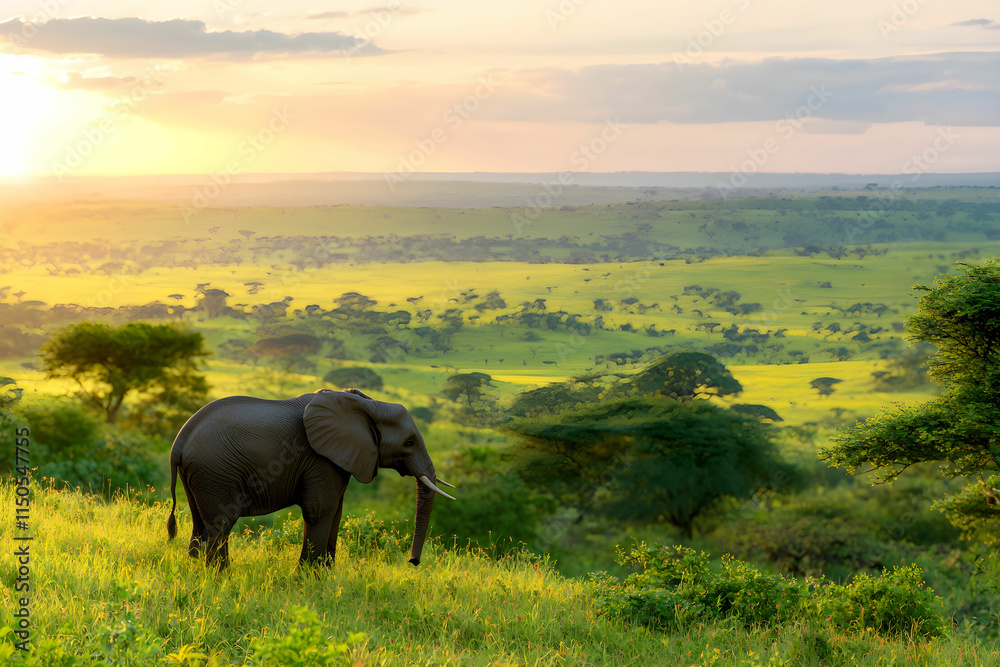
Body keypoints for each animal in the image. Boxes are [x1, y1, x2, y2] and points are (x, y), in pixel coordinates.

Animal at [165, 388, 454, 568]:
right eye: (408, 443)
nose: (413, 562)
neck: (366, 404)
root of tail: (179, 441)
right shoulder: (320, 458)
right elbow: (319, 510)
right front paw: (308, 579)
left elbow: (335, 511)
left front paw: (325, 577)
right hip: (216, 472)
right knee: (222, 524)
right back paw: (220, 576)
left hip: (200, 475)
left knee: (200, 522)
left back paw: (195, 571)